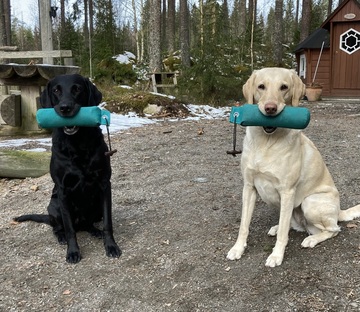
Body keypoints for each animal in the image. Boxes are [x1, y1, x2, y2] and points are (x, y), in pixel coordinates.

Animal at [14, 73, 121, 264]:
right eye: (56, 90)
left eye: (77, 89)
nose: (65, 108)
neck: (77, 144)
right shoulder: (63, 190)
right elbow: (70, 229)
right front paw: (72, 252)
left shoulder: (104, 184)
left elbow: (108, 222)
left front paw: (111, 246)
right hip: (54, 206)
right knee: (59, 227)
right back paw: (62, 237)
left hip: (95, 207)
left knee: (88, 224)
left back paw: (96, 231)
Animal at [228, 68, 360, 268]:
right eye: (261, 86)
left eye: (284, 87)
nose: (270, 108)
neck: (266, 143)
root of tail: (339, 211)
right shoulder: (249, 187)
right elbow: (244, 225)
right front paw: (237, 249)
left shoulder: (287, 192)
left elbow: (284, 234)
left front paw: (276, 256)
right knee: (293, 224)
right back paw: (277, 227)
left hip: (310, 202)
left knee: (334, 229)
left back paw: (312, 239)